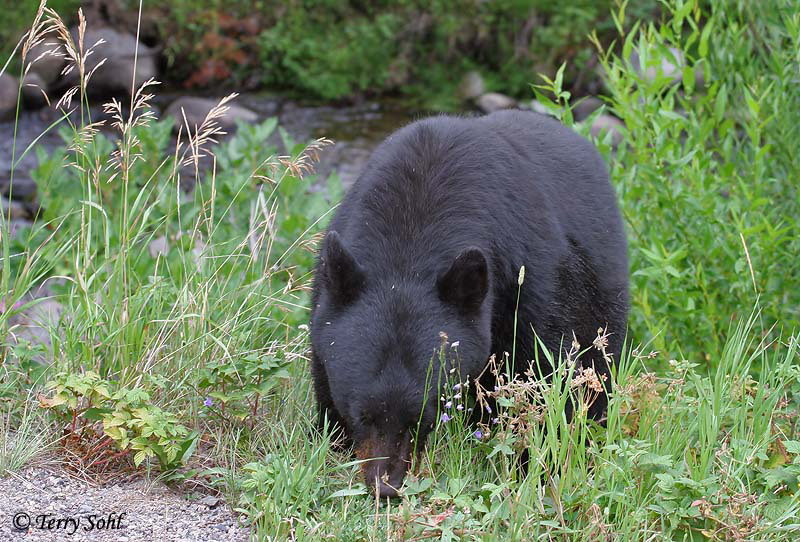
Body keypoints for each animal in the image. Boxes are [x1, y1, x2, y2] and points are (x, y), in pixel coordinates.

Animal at [309, 109, 628, 498]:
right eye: (361, 414)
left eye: (424, 418)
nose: (386, 487)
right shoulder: (328, 295)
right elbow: (324, 366)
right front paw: (332, 439)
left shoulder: (528, 283)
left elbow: (546, 374)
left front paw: (537, 467)